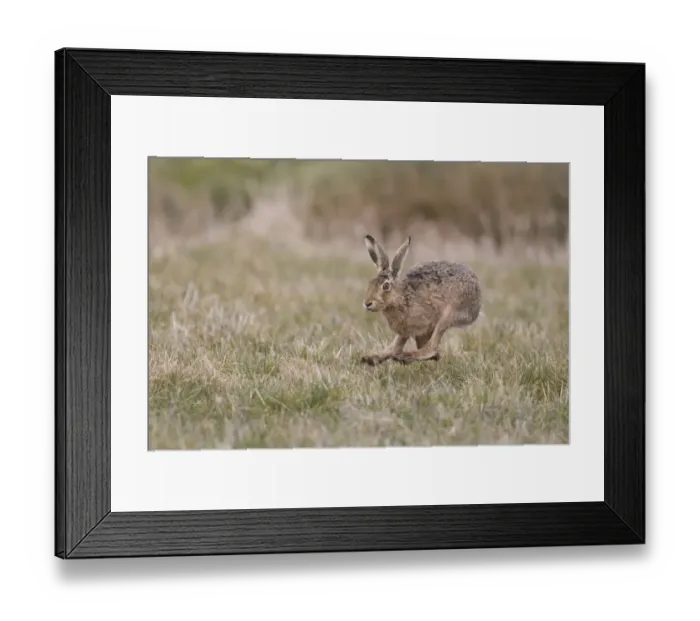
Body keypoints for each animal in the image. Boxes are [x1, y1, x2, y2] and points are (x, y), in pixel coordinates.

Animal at [360, 234, 482, 366]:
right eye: (370, 283)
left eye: (386, 286)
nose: (367, 303)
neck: (400, 297)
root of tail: (477, 292)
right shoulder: (405, 330)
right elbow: (397, 345)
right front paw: (373, 358)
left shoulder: (423, 325)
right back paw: (373, 358)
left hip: (450, 314)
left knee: (431, 347)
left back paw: (406, 356)